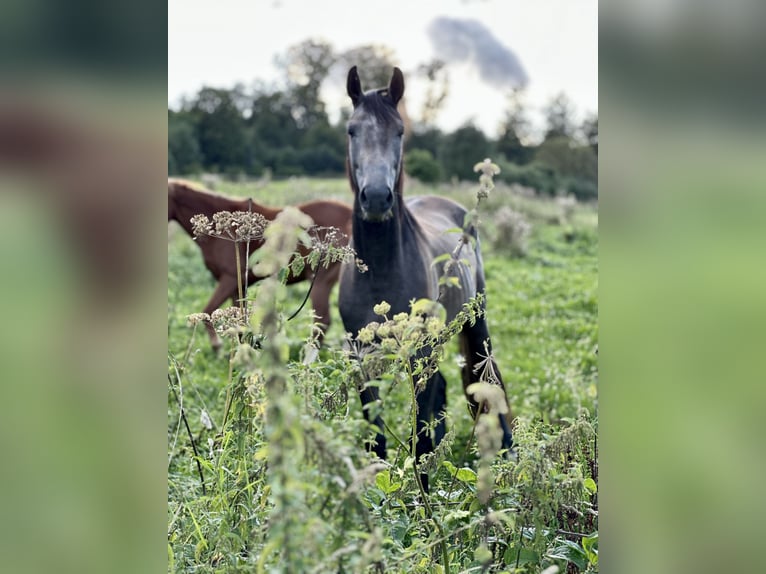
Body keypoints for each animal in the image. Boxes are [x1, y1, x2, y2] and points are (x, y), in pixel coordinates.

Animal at [168, 180, 354, 352]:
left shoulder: (228, 279)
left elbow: (207, 312)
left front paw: (218, 347)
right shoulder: (237, 287)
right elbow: (239, 322)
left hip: (321, 280)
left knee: (322, 321)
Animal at [338, 66, 512, 490]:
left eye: (400, 131)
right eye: (352, 130)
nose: (377, 198)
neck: (381, 268)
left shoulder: (421, 349)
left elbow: (420, 430)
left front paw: (422, 494)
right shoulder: (359, 354)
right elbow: (376, 435)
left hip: (473, 324)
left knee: (485, 381)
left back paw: (506, 452)